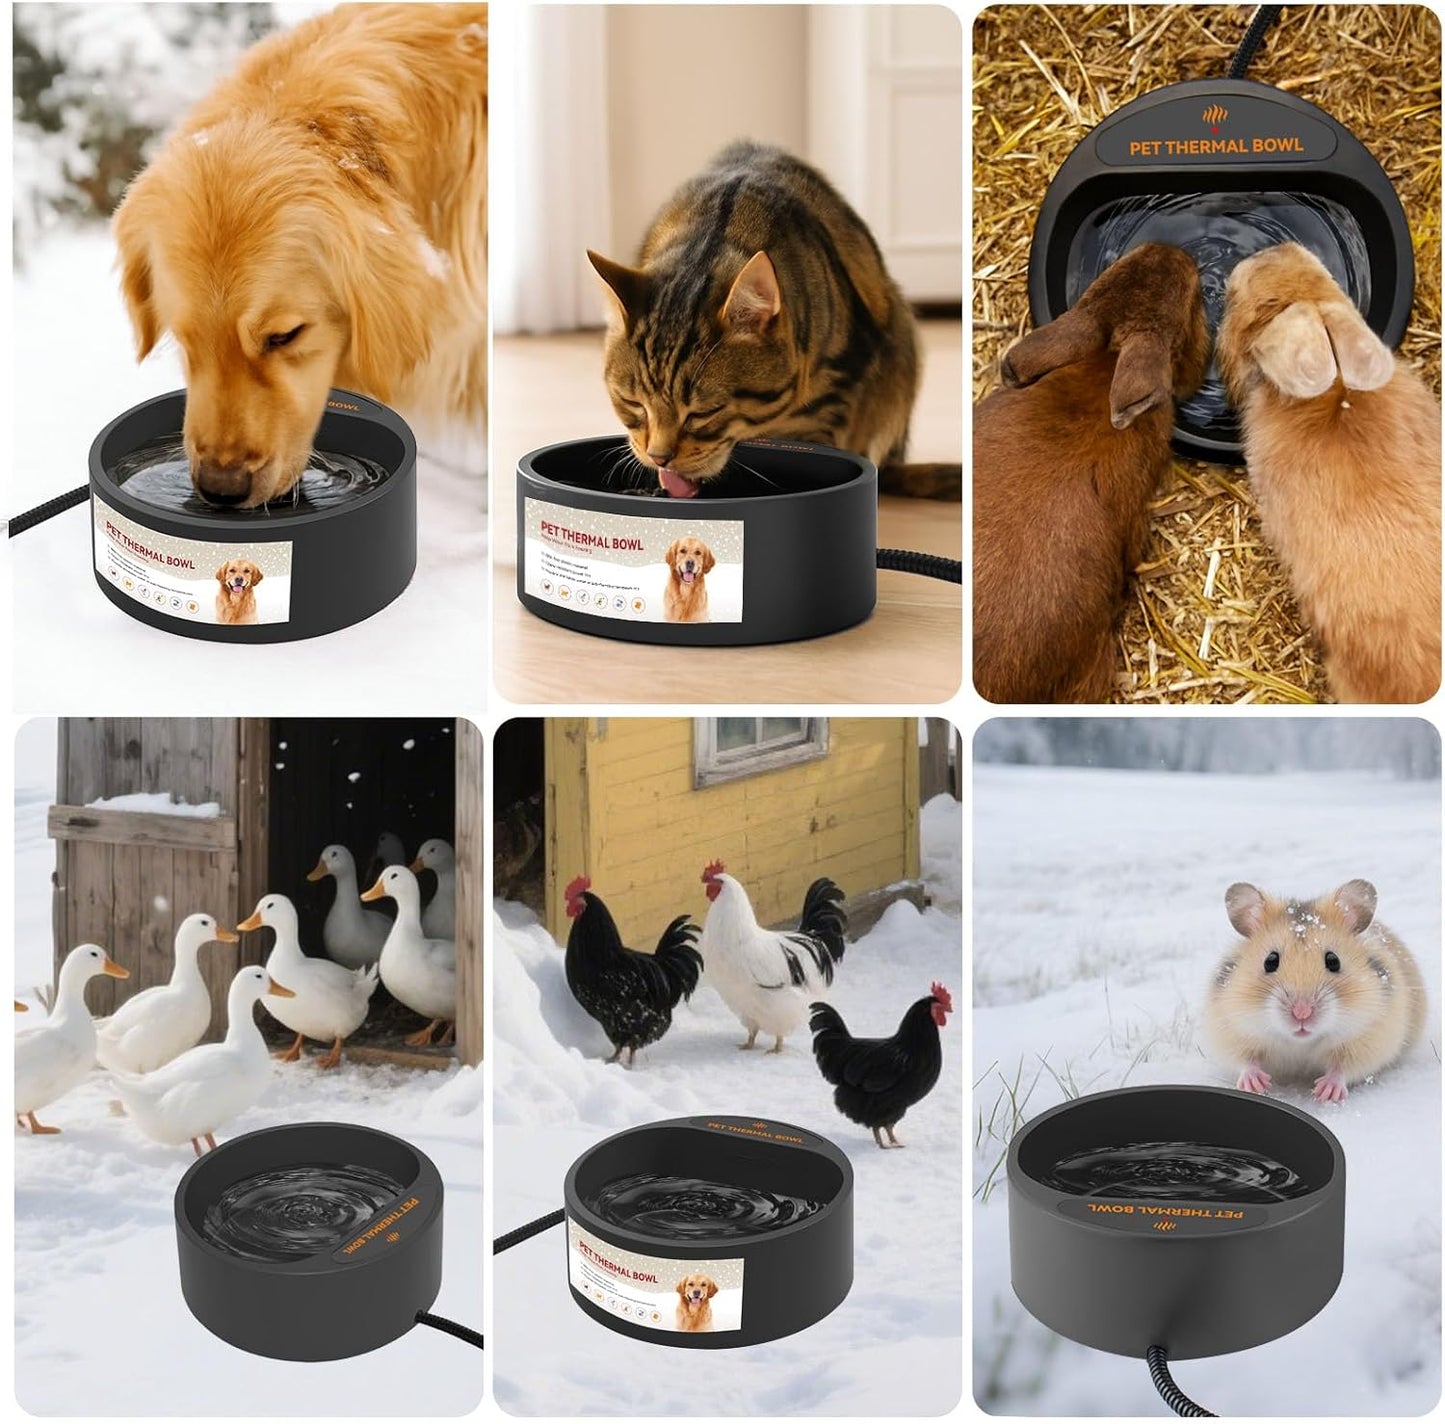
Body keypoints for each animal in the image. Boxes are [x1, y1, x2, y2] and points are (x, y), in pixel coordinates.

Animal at [1202, 878, 1427, 1104]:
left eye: (1333, 961)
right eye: (1270, 961)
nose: (1302, 1013)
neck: (1300, 1043)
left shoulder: (1370, 1037)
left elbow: (1343, 1067)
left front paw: (1325, 1093)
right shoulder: (1231, 1030)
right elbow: (1246, 1061)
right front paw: (1255, 1085)